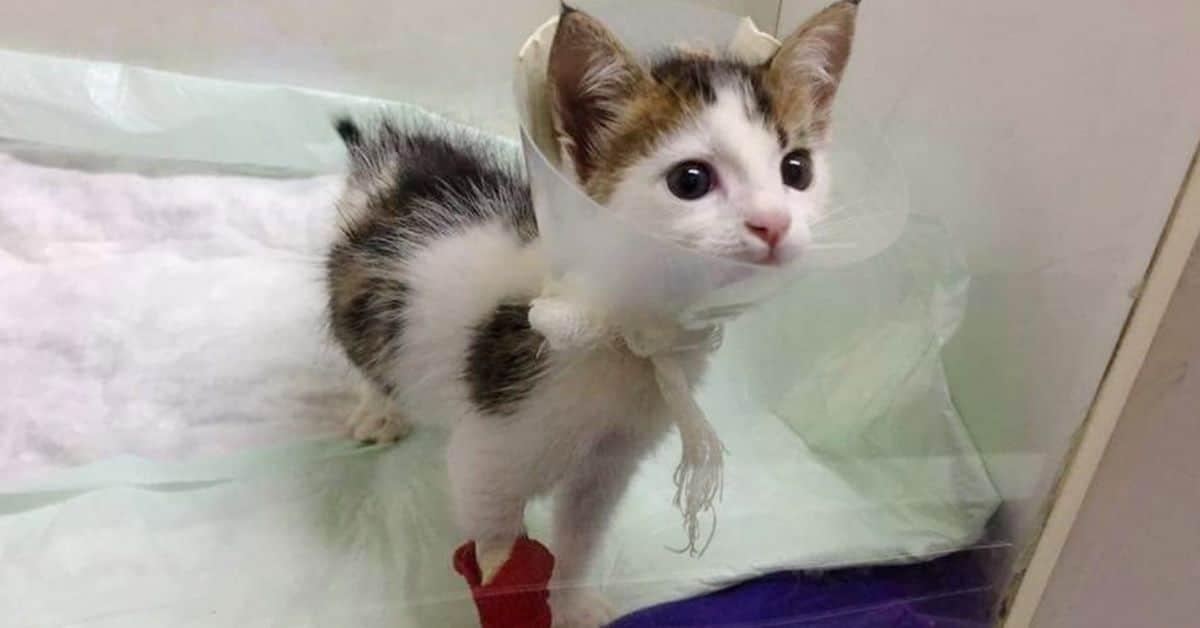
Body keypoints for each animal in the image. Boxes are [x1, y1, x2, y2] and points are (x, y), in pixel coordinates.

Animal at [324, 2, 859, 624]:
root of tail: (398, 167)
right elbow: (499, 555)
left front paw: (573, 604)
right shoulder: (487, 460)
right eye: (691, 180)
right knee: (362, 344)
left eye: (796, 170)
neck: (625, 334)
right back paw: (379, 410)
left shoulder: (610, 464)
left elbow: (581, 535)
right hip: (365, 300)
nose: (774, 223)